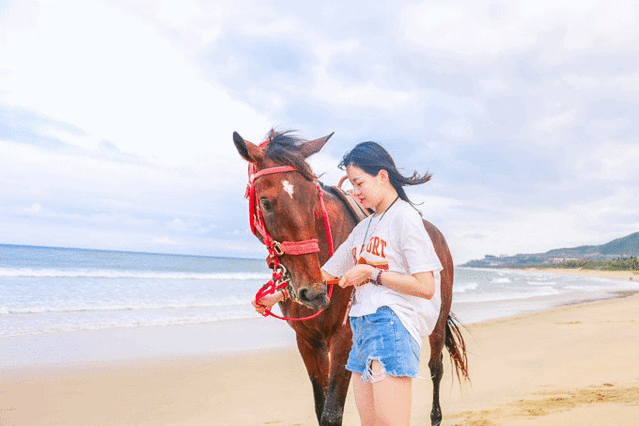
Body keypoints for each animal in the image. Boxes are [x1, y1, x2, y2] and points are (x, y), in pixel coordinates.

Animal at [233, 129, 469, 426]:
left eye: (314, 198)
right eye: (265, 203)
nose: (314, 292)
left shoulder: (344, 338)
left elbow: (331, 413)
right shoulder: (307, 341)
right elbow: (321, 407)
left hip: (437, 320)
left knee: (436, 368)